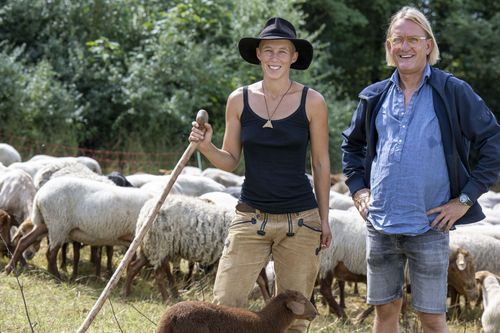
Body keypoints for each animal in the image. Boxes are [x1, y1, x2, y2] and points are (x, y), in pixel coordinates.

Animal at [4, 176, 151, 278]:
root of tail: (39, 195)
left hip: (47, 224)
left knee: (24, 241)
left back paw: (9, 268)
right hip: (59, 224)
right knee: (50, 253)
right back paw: (57, 277)